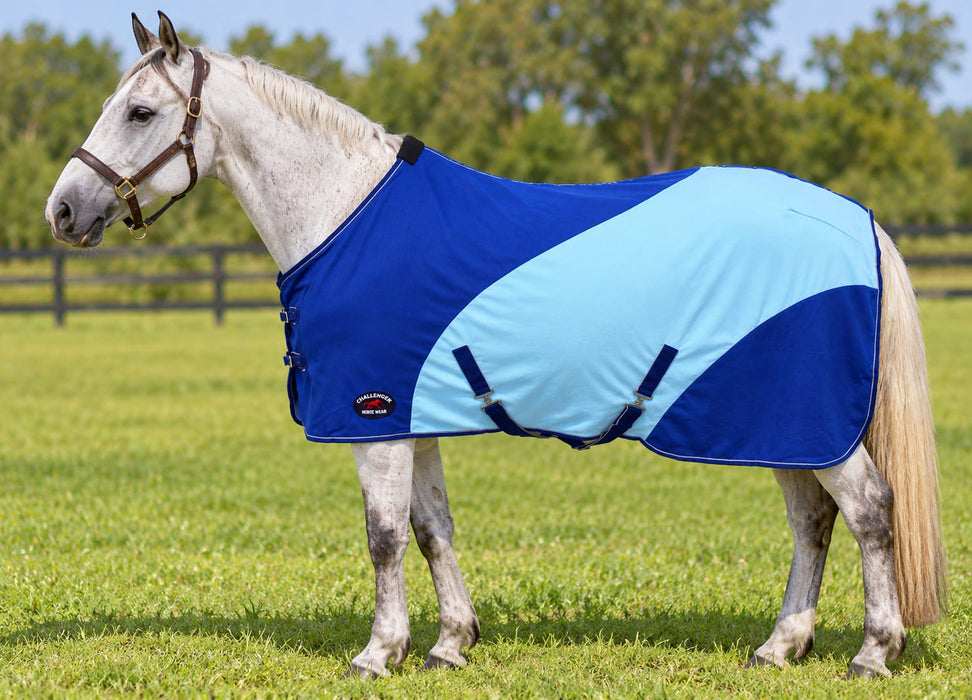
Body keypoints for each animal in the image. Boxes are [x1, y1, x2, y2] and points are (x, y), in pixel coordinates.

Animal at [46, 12, 946, 679]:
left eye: (140, 113)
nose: (62, 209)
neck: (347, 217)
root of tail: (856, 219)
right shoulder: (411, 415)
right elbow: (431, 528)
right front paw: (450, 644)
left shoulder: (373, 417)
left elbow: (382, 535)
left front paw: (378, 653)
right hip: (787, 423)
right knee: (812, 522)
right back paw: (781, 646)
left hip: (808, 421)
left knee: (870, 512)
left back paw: (874, 652)